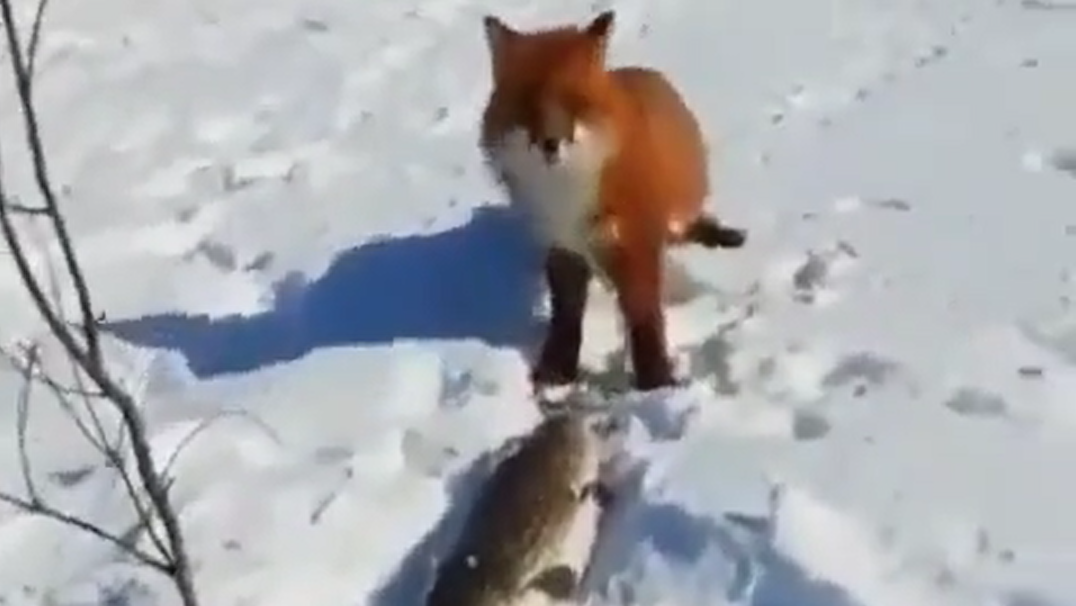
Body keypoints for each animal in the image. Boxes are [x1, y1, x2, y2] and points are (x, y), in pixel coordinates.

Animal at [478, 9, 748, 393]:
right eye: (527, 105)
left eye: (574, 102)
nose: (551, 144)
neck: (567, 194)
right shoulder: (564, 248)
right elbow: (565, 319)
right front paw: (556, 371)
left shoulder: (634, 242)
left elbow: (644, 319)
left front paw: (655, 381)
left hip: (679, 206)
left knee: (685, 226)